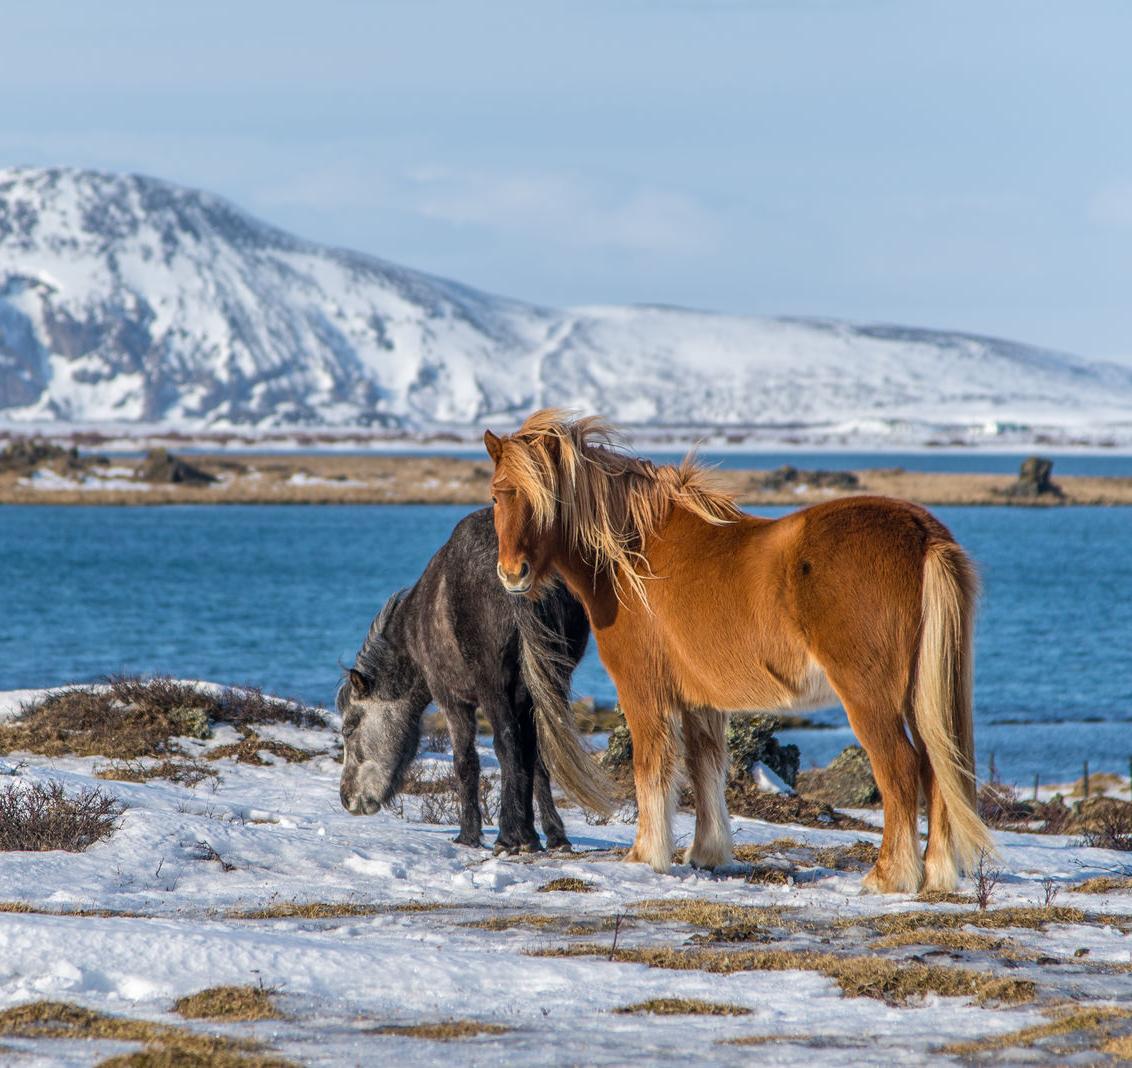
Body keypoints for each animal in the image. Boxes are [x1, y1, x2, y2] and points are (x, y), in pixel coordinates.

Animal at [486, 409, 991, 892]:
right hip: (918, 696)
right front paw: (707, 854)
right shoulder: (700, 700)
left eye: (546, 498)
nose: (513, 573)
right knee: (938, 769)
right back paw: (937, 875)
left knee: (901, 769)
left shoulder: (644, 690)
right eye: (496, 496)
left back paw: (889, 876)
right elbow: (706, 767)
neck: (632, 556)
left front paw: (645, 856)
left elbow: (651, 768)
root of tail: (922, 534)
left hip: (870, 697)